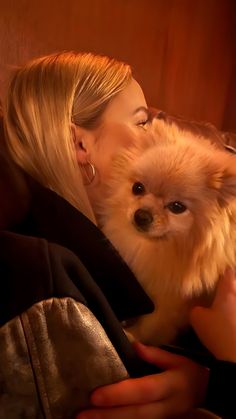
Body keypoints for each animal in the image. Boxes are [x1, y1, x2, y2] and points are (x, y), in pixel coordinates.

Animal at [94, 120, 236, 346]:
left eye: (177, 207)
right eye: (138, 188)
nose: (142, 215)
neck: (159, 249)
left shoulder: (171, 303)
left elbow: (152, 326)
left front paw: (134, 337)